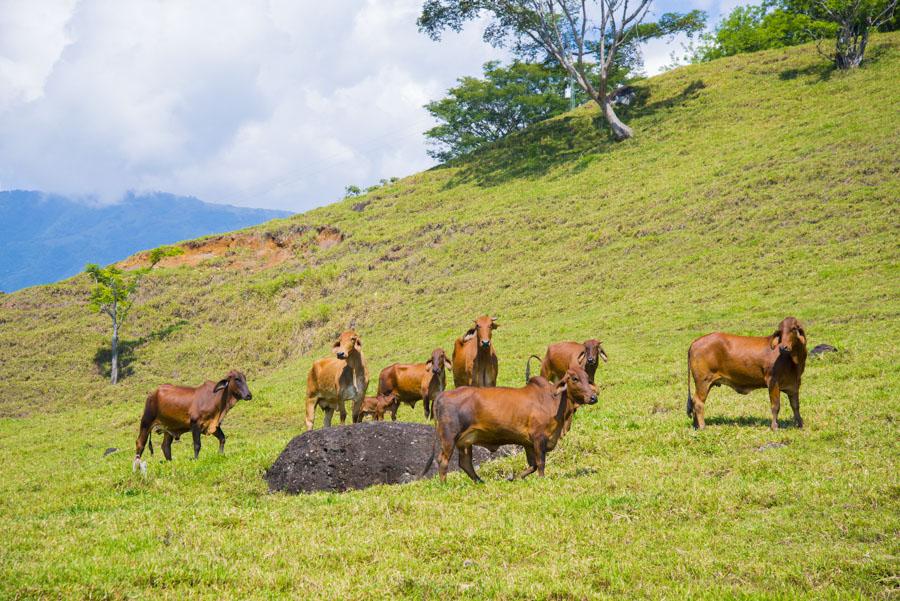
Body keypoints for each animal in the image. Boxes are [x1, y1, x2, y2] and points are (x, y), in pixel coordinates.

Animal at [422, 360, 596, 482]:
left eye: (588, 378)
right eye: (574, 378)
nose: (593, 397)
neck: (554, 401)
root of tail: (442, 395)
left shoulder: (528, 443)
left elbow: (532, 465)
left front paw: (515, 477)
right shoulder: (539, 437)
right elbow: (540, 463)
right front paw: (541, 479)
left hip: (465, 441)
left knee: (465, 463)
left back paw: (480, 482)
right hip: (449, 437)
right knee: (443, 460)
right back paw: (444, 484)